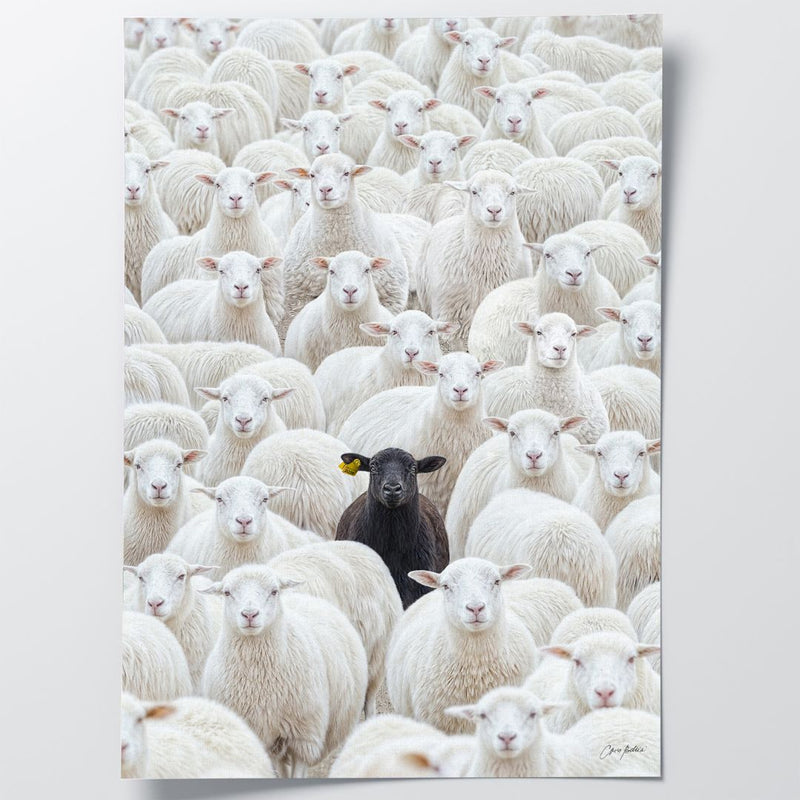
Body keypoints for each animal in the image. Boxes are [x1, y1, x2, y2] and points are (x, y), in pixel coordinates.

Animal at [200, 564, 368, 778]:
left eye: (274, 591)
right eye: (227, 593)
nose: (249, 615)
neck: (258, 679)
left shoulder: (304, 736)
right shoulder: (260, 735)